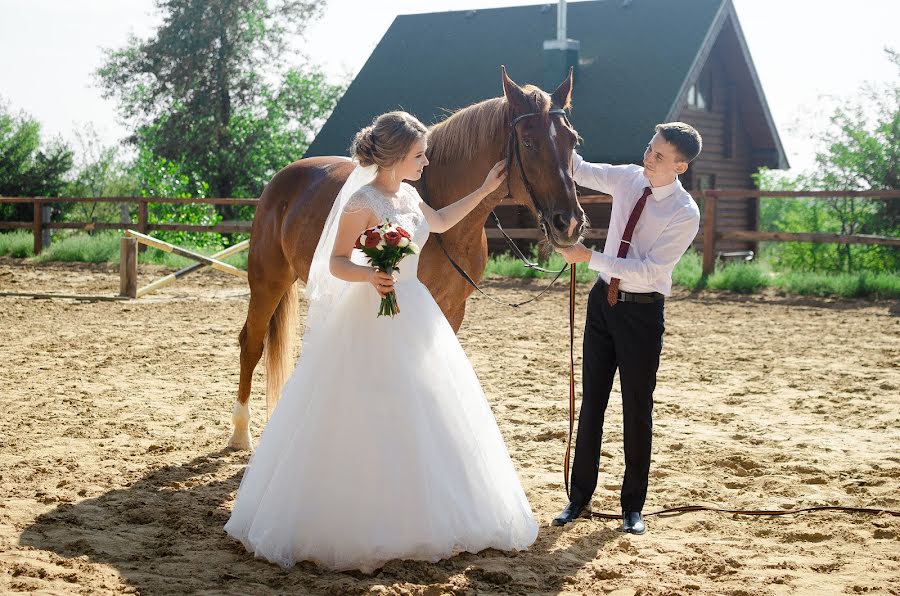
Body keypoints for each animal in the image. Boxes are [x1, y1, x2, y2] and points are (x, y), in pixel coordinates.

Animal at [229, 66, 588, 448]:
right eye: (529, 143)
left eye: (572, 142)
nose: (569, 223)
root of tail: (281, 179)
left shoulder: (452, 308)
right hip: (268, 281)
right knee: (251, 343)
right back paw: (241, 432)